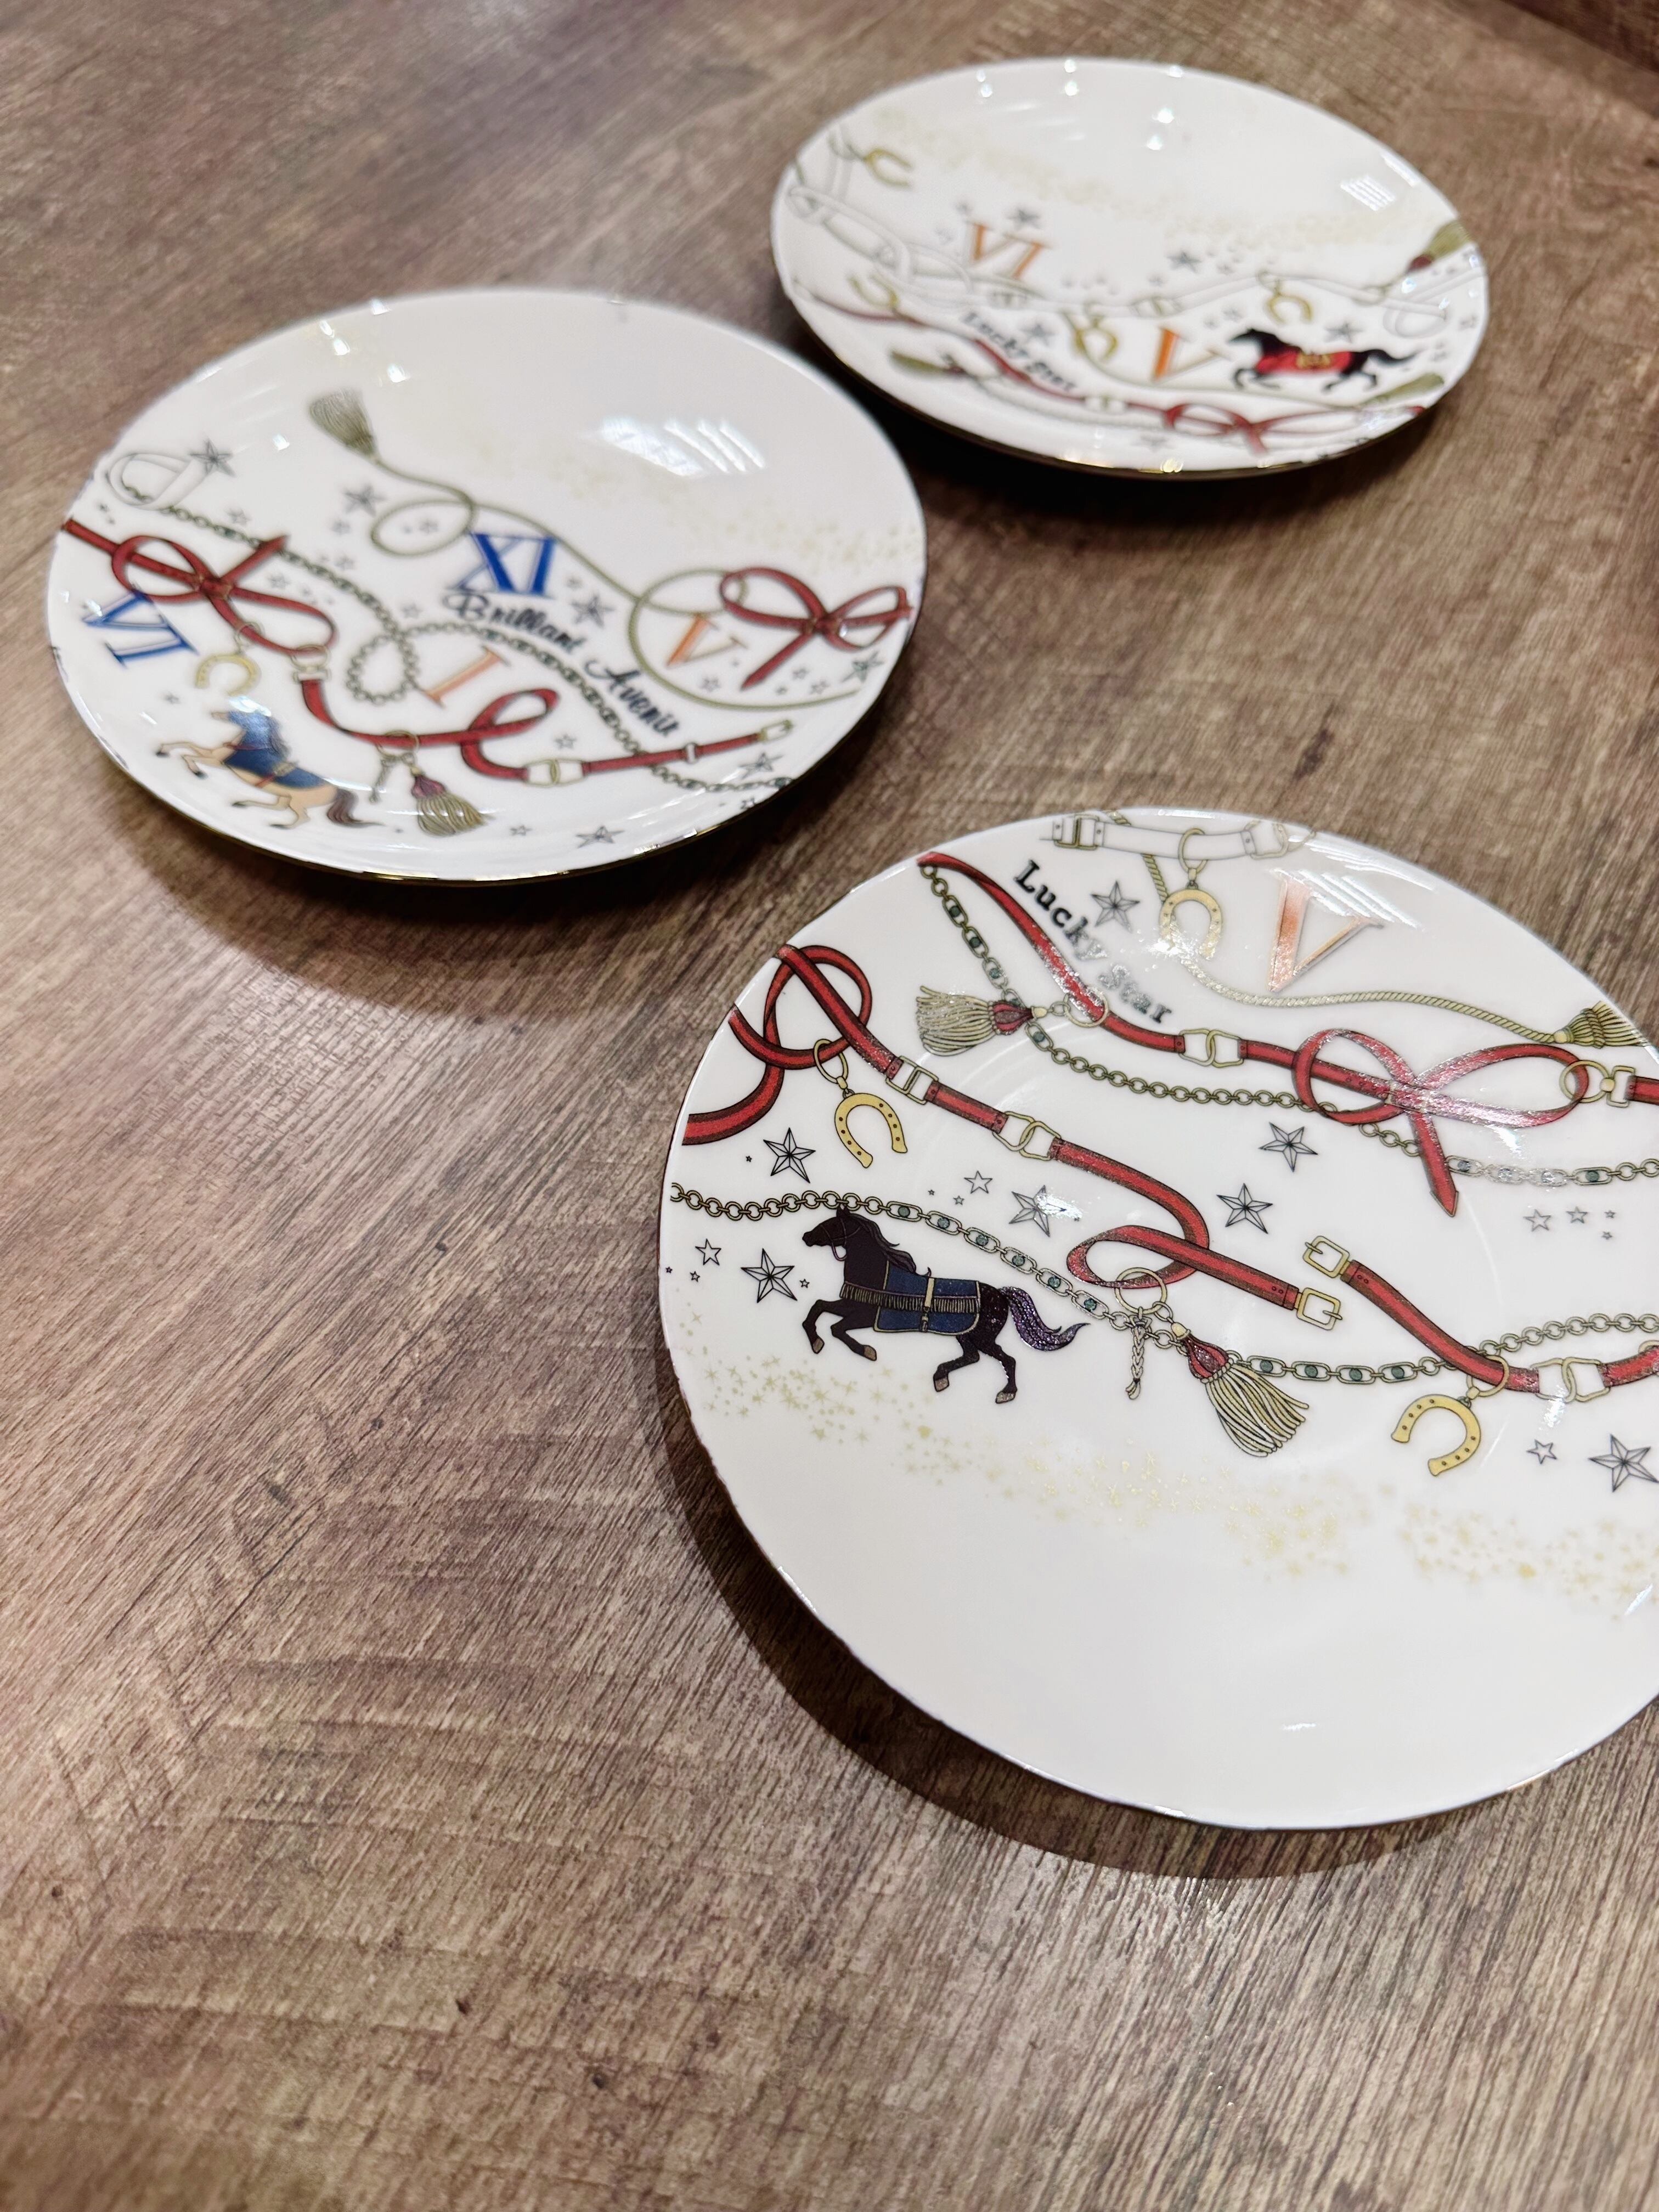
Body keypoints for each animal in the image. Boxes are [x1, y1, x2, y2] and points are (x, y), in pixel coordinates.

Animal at [158, 702, 367, 828]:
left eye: (240, 714)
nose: (215, 713)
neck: (247, 746)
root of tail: (337, 789)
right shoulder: (213, 756)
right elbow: (186, 744)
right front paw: (163, 749)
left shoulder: (218, 763)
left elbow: (188, 755)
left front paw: (197, 772)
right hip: (286, 796)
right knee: (279, 808)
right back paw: (242, 803)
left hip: (297, 802)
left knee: (303, 817)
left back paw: (281, 826)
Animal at [800, 1206, 1083, 1404]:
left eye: (830, 1224)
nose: (806, 1236)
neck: (876, 1275)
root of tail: (1002, 1295)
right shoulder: (850, 1305)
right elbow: (818, 1307)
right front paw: (816, 1342)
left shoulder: (866, 1316)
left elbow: (837, 1328)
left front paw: (867, 1351)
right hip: (967, 1335)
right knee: (973, 1357)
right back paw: (941, 1377)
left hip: (982, 1336)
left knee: (1007, 1359)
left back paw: (1005, 1393)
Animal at [1229, 328, 1417, 392]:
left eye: (1243, 335)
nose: (1230, 339)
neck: (1276, 351)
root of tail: (1362, 352)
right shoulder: (1264, 372)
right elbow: (1243, 372)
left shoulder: (1264, 371)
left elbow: (1245, 373)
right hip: (1356, 369)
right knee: (1372, 376)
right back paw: (1371, 387)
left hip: (1347, 370)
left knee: (1349, 378)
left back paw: (1328, 387)